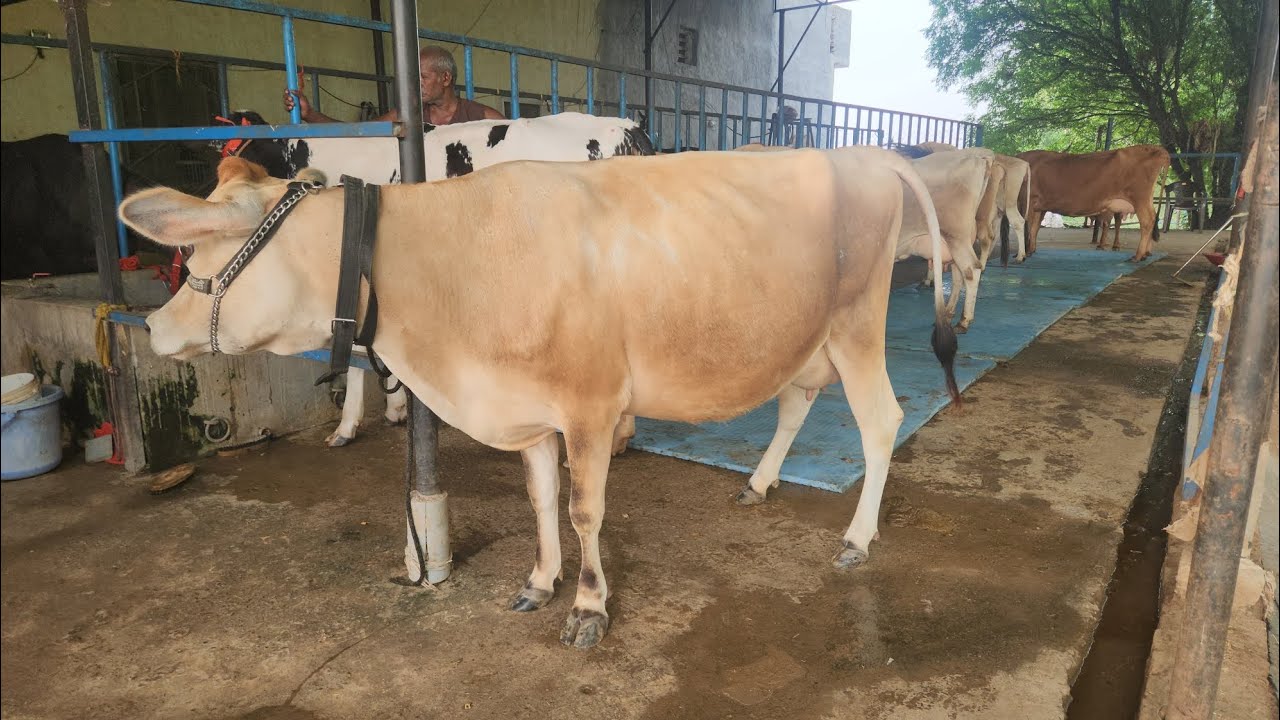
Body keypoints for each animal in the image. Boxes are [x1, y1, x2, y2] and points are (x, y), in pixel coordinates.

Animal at [118, 148, 955, 649]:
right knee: (795, 401)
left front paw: (587, 607)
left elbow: (584, 509)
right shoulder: (529, 408)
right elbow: (539, 497)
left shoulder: (590, 402)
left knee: (880, 422)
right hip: (807, 338)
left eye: (198, 251)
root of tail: (863, 152)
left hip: (857, 326)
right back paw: (758, 482)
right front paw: (540, 581)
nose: (153, 326)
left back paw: (857, 539)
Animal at [1016, 145, 1170, 261]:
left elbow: (1028, 228)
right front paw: (1031, 250)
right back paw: (1145, 254)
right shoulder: (1039, 206)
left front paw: (1024, 253)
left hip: (1139, 198)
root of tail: (1154, 148)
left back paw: (1137, 256)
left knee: (1147, 221)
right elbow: (1035, 228)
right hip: (1145, 199)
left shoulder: (1030, 200)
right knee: (1153, 218)